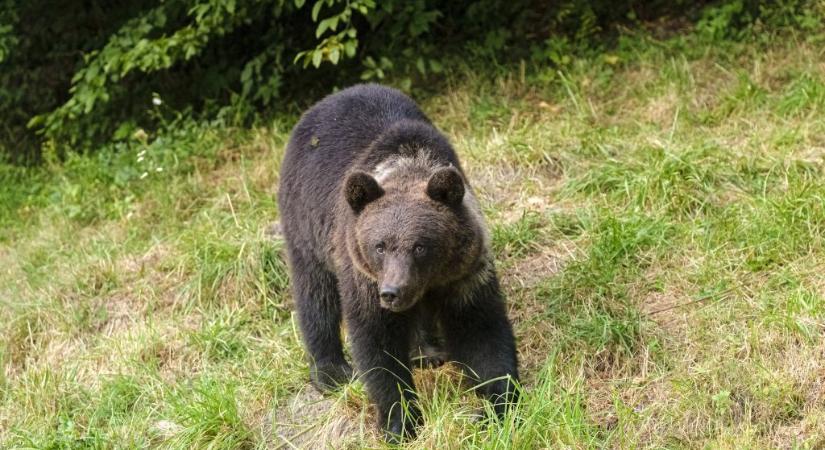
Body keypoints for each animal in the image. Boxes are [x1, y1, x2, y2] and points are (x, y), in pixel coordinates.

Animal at [280, 82, 520, 442]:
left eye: (420, 246)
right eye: (380, 246)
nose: (392, 292)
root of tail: (328, 99)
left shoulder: (464, 273)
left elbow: (480, 330)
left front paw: (497, 405)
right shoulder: (363, 273)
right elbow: (377, 344)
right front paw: (400, 422)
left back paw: (426, 352)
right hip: (306, 224)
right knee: (315, 293)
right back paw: (331, 371)